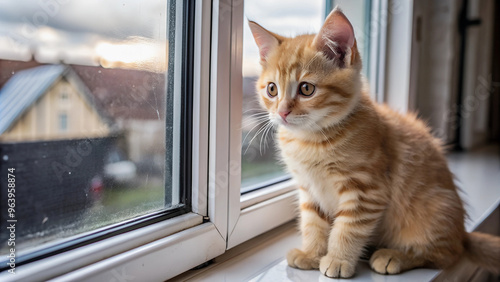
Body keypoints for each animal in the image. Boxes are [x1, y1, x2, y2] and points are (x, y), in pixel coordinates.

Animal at [247, 7, 500, 278]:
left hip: (434, 211)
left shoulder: (367, 189)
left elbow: (348, 227)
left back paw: (394, 256)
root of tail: (462, 233)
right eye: (272, 89)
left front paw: (338, 259)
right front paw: (312, 253)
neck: (310, 140)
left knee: (445, 255)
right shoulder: (309, 189)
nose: (282, 112)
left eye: (306, 89)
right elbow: (313, 222)